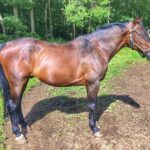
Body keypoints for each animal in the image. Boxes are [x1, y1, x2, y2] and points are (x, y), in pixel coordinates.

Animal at [0, 17, 150, 144]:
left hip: (23, 82)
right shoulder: (93, 83)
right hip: (17, 83)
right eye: (140, 34)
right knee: (12, 106)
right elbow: (92, 105)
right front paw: (95, 129)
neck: (96, 49)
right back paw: (19, 135)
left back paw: (25, 126)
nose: (149, 53)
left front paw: (95, 124)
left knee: (18, 105)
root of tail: (5, 45)